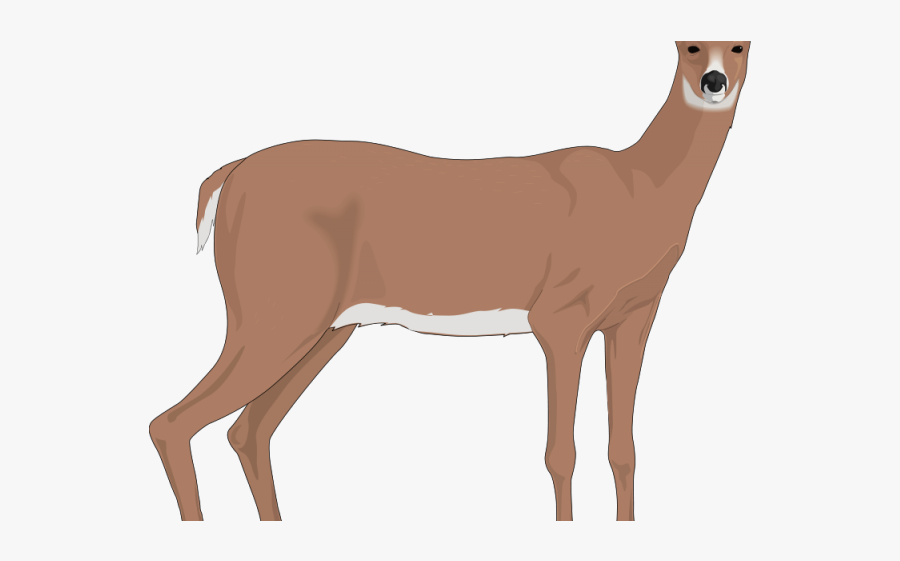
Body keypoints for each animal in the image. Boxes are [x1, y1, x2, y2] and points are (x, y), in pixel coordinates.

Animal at [150, 41, 750, 521]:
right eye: (690, 46)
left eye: (739, 45)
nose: (713, 82)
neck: (641, 188)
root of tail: (228, 176)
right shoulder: (560, 317)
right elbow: (561, 454)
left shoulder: (635, 318)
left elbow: (623, 450)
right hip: (276, 314)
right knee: (173, 424)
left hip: (323, 329)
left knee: (247, 431)